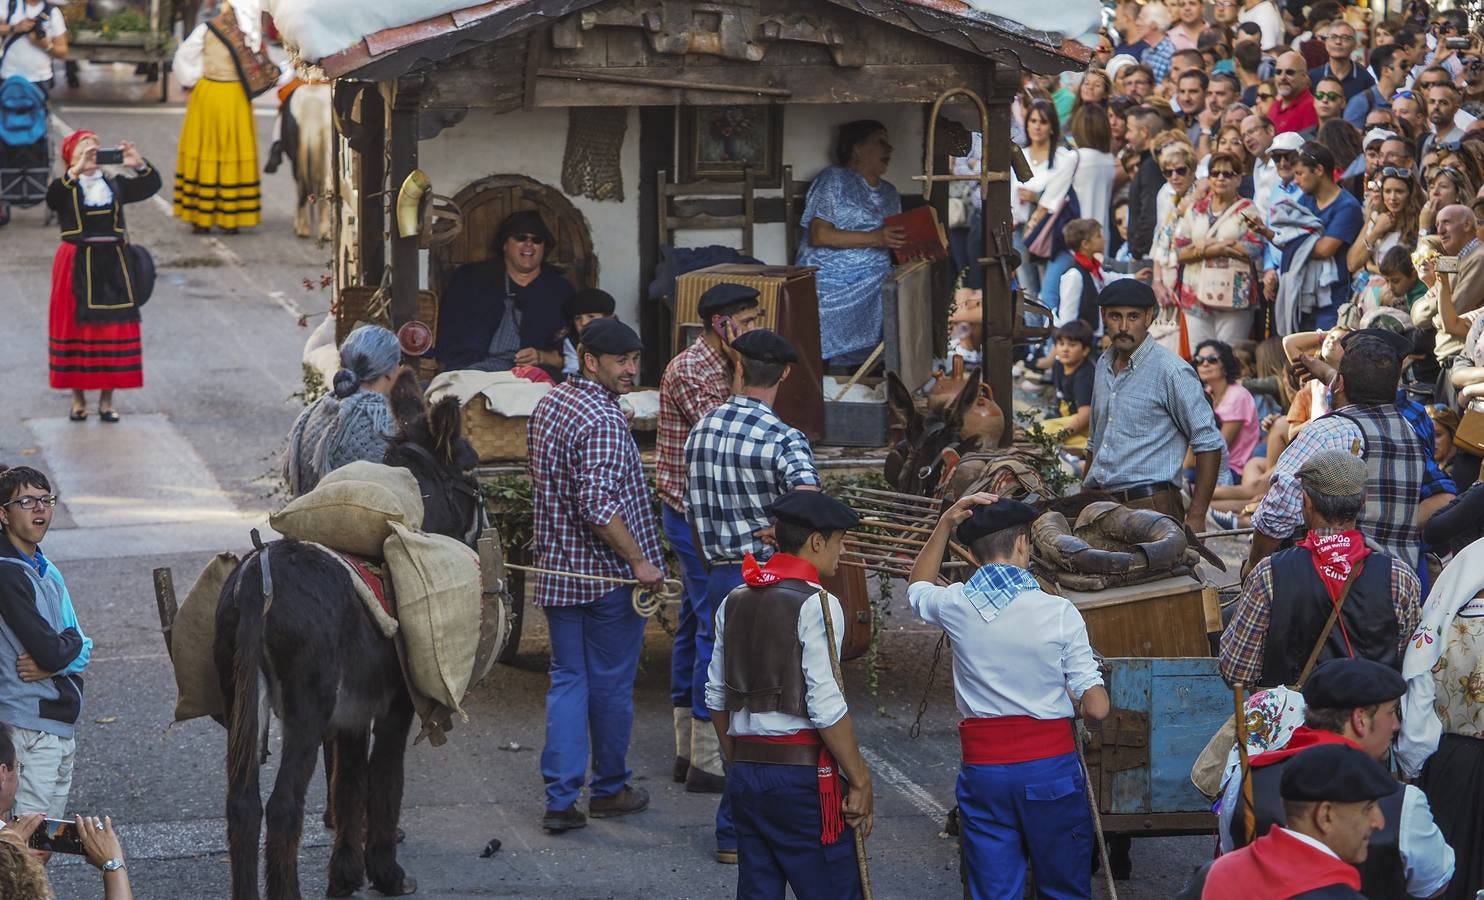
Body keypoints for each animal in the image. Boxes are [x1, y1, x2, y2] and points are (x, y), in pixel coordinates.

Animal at [215, 398, 477, 897]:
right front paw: (386, 873)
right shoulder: (394, 710)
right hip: (306, 708)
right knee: (283, 805)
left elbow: (350, 784)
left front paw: (346, 873)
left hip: (242, 700)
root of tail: (259, 580)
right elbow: (385, 781)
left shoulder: (352, 716)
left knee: (242, 805)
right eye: (474, 474)